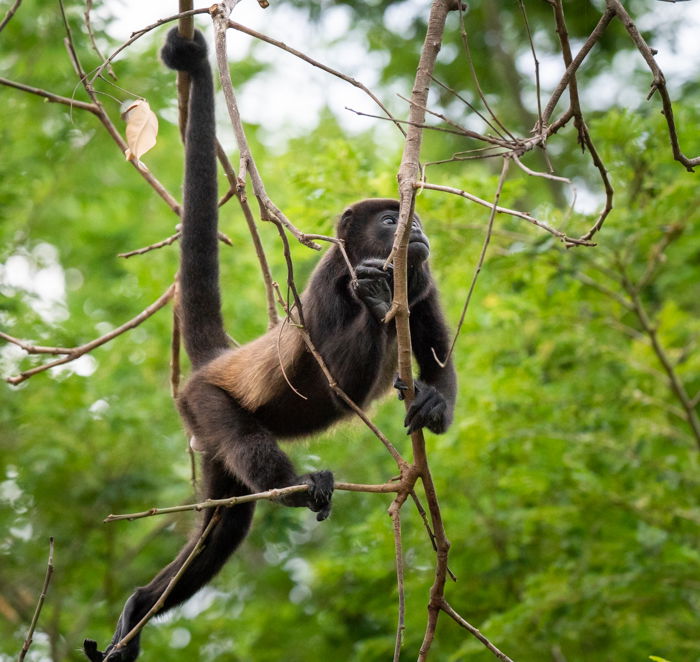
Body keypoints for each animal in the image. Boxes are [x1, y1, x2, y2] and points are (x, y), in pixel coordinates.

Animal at [83, 27, 454, 662]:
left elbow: (438, 356)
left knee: (222, 528)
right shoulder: (331, 283)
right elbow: (330, 373)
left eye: (410, 217)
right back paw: (300, 489)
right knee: (246, 455)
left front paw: (432, 402)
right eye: (390, 220)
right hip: (205, 403)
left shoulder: (422, 282)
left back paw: (139, 606)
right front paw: (376, 301)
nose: (419, 228)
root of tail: (216, 359)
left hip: (205, 439)